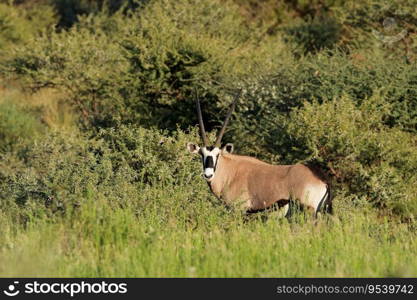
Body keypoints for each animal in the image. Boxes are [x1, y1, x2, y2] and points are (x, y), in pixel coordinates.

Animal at [186, 92, 332, 217]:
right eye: (201, 154)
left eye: (218, 155)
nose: (208, 175)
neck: (230, 172)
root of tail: (321, 178)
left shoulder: (239, 209)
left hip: (308, 210)